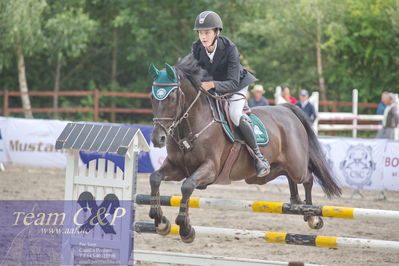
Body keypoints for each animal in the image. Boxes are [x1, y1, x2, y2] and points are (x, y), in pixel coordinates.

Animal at [148, 53, 342, 243]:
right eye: (151, 97)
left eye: (172, 98)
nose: (158, 139)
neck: (190, 127)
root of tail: (287, 110)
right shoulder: (177, 167)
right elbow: (155, 178)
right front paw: (160, 220)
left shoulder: (210, 169)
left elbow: (187, 186)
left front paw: (185, 229)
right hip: (263, 174)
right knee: (288, 177)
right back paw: (296, 202)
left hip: (296, 166)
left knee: (307, 177)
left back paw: (312, 216)